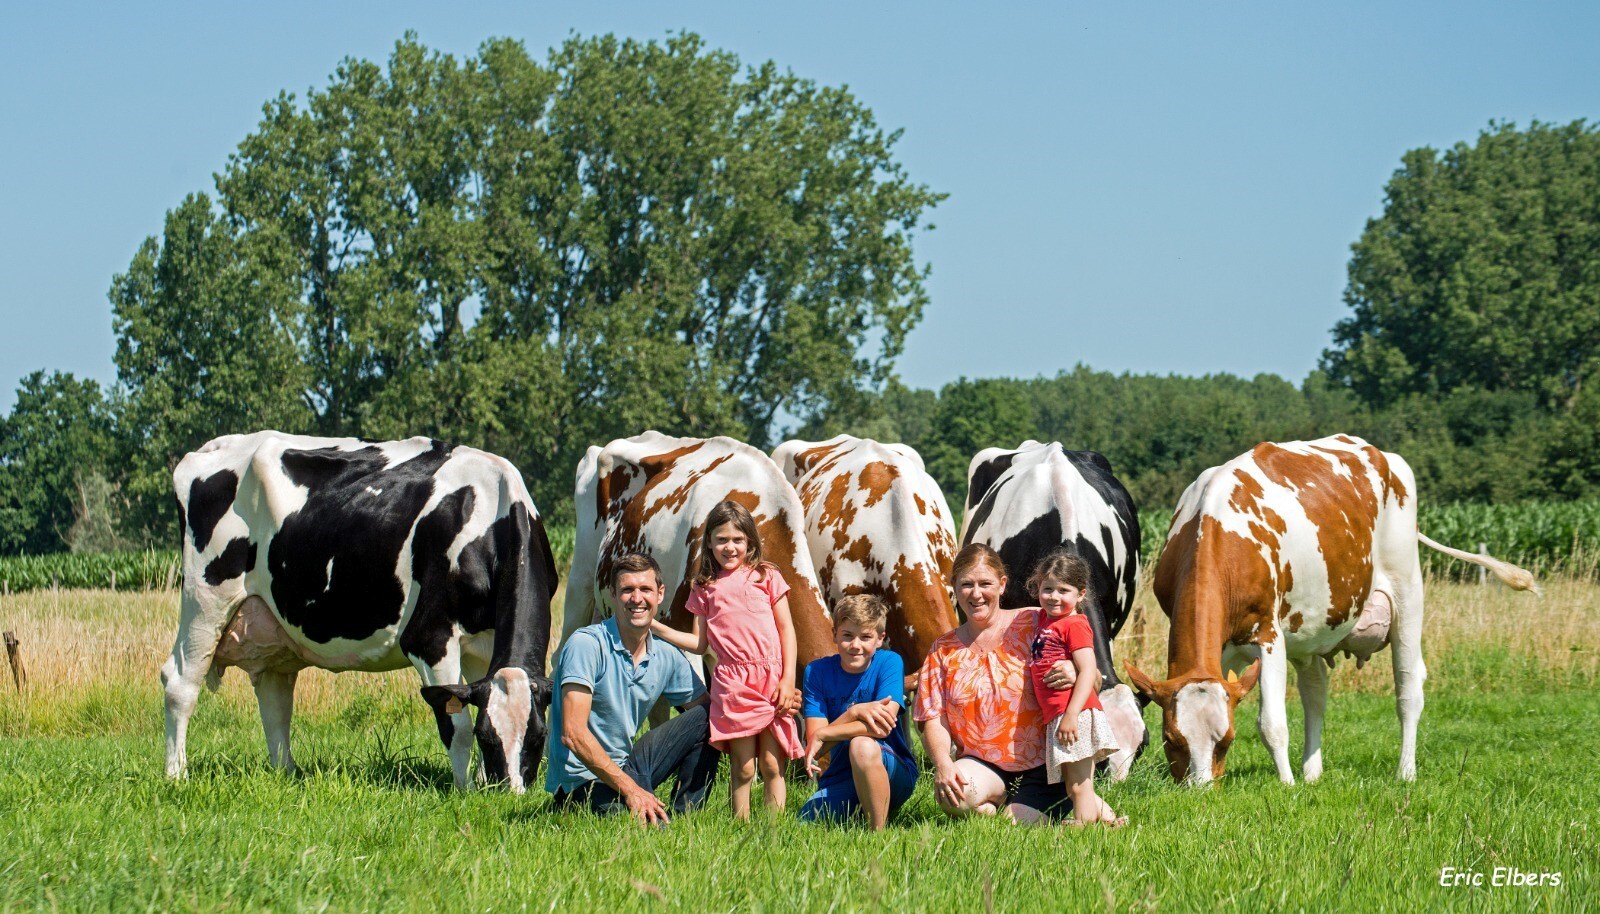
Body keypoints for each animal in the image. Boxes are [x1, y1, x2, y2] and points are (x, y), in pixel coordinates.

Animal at [162, 432, 560, 790]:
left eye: (539, 738)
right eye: (488, 737)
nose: (511, 793)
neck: (491, 516)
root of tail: (222, 444)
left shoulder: (484, 639)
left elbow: (473, 701)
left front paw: (481, 782)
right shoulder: (429, 638)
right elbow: (456, 725)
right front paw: (464, 792)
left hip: (272, 628)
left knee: (275, 698)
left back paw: (286, 773)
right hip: (206, 598)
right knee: (180, 682)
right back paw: (176, 776)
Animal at [1126, 435, 1536, 787]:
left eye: (1226, 739)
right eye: (1170, 738)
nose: (1199, 790)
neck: (1214, 529)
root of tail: (1380, 452)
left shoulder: (1269, 634)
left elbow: (1271, 723)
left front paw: (1286, 784)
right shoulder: (1226, 647)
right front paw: (1297, 778)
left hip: (1407, 590)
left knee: (1408, 688)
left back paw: (1405, 773)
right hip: (1310, 629)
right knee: (1315, 694)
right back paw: (1312, 773)